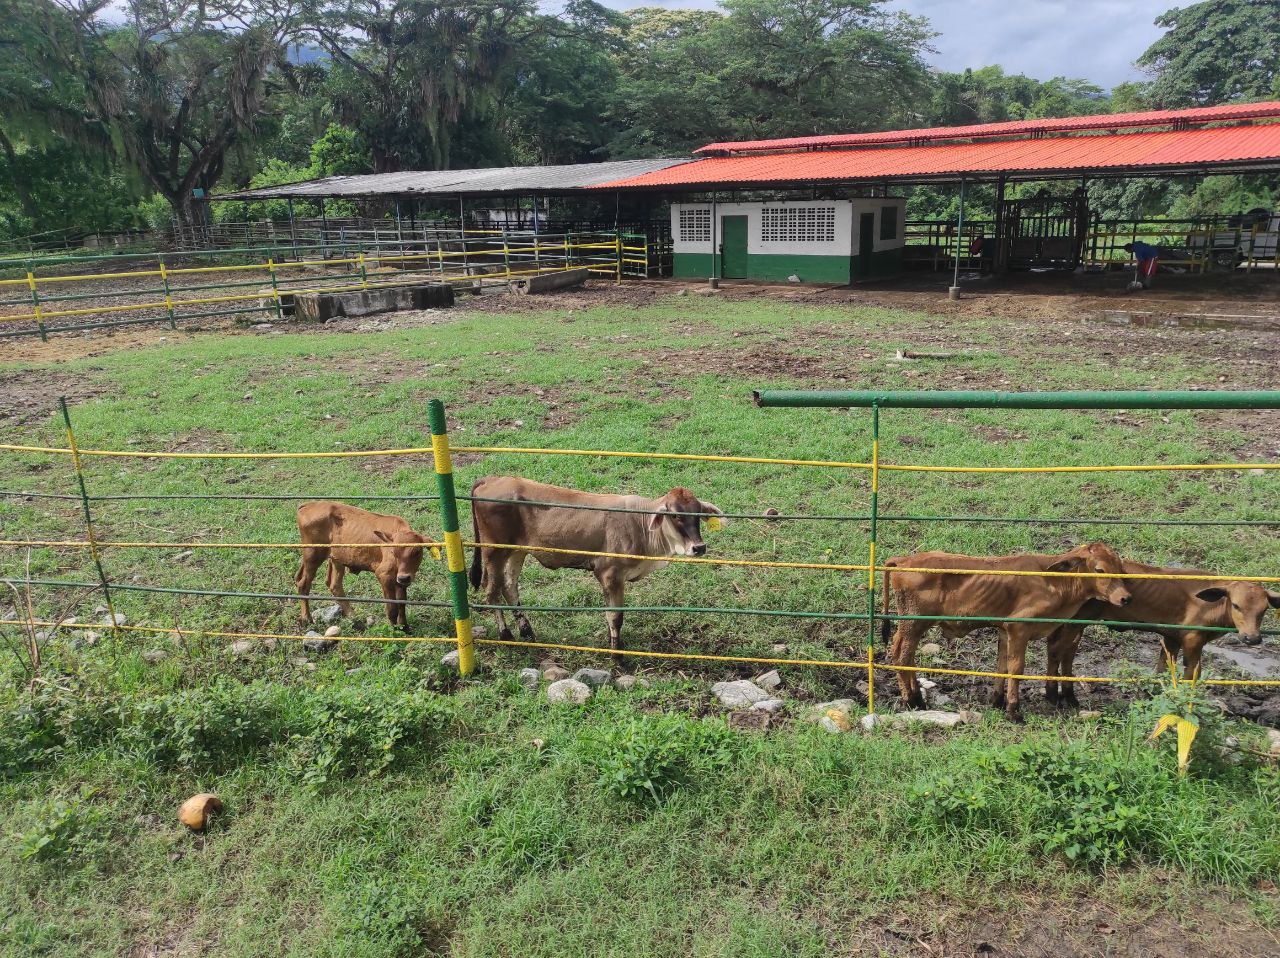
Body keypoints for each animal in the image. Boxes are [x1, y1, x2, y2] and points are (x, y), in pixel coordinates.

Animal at [294, 502, 430, 627]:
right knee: (303, 584)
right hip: (313, 555)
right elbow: (392, 607)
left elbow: (401, 603)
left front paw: (404, 627)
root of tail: (309, 504)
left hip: (336, 558)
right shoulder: (384, 574)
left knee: (334, 585)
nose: (404, 577)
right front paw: (393, 628)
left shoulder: (400, 581)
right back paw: (307, 618)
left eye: (417, 551)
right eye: (393, 552)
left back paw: (353, 617)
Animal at [471, 476, 727, 655]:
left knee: (509, 586)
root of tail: (492, 479)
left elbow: (609, 615)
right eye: (675, 515)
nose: (699, 547)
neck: (640, 525)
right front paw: (616, 653)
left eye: (699, 514)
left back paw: (527, 632)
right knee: (491, 592)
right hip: (494, 552)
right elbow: (615, 616)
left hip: (517, 551)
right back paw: (506, 636)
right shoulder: (610, 575)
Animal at [880, 545, 1131, 717]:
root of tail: (905, 560)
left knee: (906, 654)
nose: (1125, 598)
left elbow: (1002, 665)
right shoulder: (1018, 628)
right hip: (914, 622)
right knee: (902, 655)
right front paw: (1013, 710)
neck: (1053, 582)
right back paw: (911, 700)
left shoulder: (1004, 631)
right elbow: (1016, 668)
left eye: (1120, 568)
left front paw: (997, 701)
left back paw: (917, 697)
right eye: (1100, 569)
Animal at [1044, 560, 1280, 701]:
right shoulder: (1193, 639)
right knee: (1058, 650)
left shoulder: (1171, 638)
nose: (1252, 638)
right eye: (1236, 605)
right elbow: (1192, 673)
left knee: (1065, 651)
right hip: (1076, 620)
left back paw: (1067, 695)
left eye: (1264, 610)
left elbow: (1163, 669)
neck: (1215, 605)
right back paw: (1054, 695)